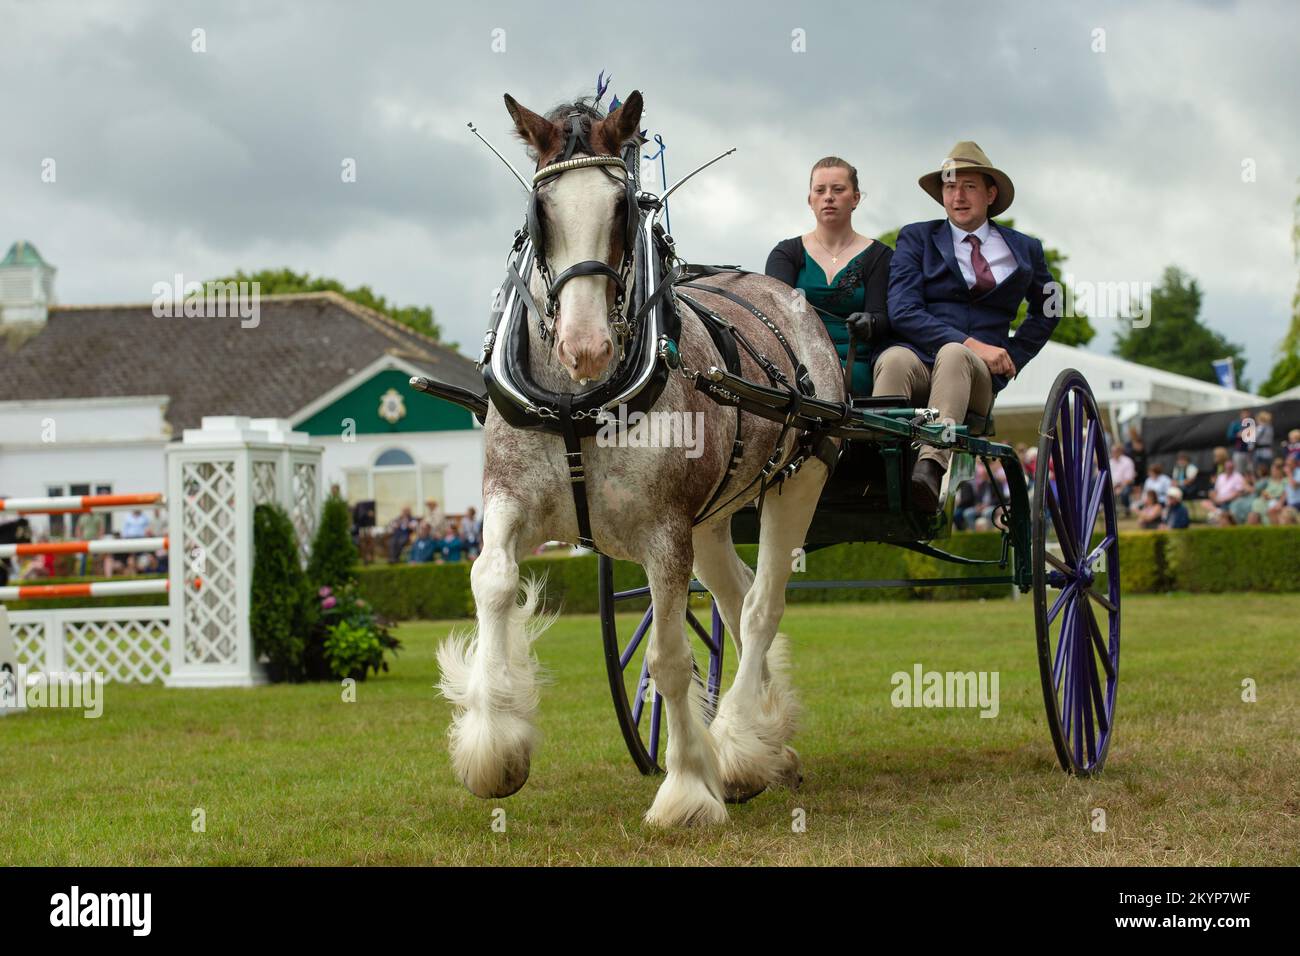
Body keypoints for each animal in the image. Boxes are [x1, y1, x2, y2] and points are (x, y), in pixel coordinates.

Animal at [431, 91, 847, 832]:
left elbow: (669, 657)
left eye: (624, 208)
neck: (578, 401)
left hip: (801, 478)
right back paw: (767, 743)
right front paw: (494, 746)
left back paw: (737, 743)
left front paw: (687, 787)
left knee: (761, 606)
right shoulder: (508, 500)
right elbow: (493, 583)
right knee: (736, 600)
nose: (585, 345)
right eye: (539, 213)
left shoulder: (663, 534)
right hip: (710, 521)